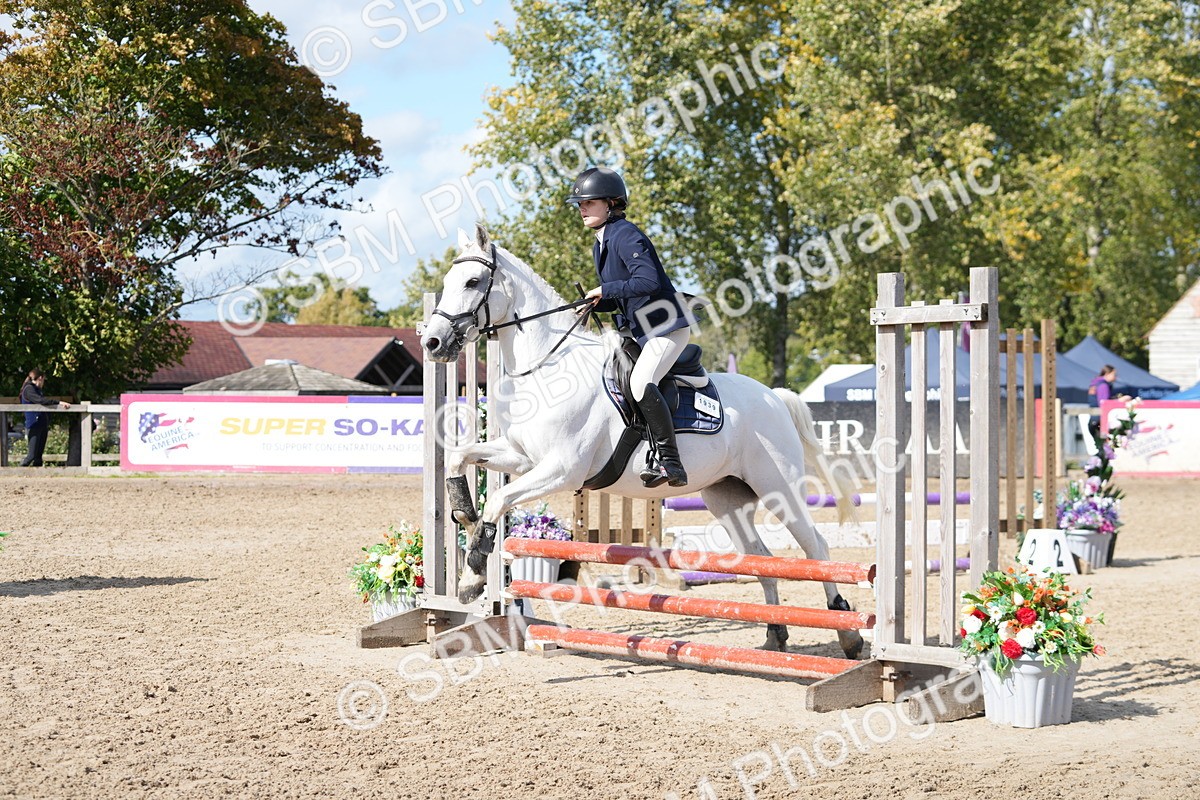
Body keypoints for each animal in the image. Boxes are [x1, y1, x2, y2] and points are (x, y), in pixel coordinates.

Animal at [420, 224, 863, 659]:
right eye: (446, 282)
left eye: (473, 281)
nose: (432, 343)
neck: (548, 367)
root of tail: (775, 396)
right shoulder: (522, 458)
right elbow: (460, 457)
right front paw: (463, 512)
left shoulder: (561, 470)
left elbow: (498, 499)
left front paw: (471, 578)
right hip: (727, 498)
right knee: (762, 559)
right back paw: (775, 635)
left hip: (778, 487)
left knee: (816, 548)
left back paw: (848, 633)